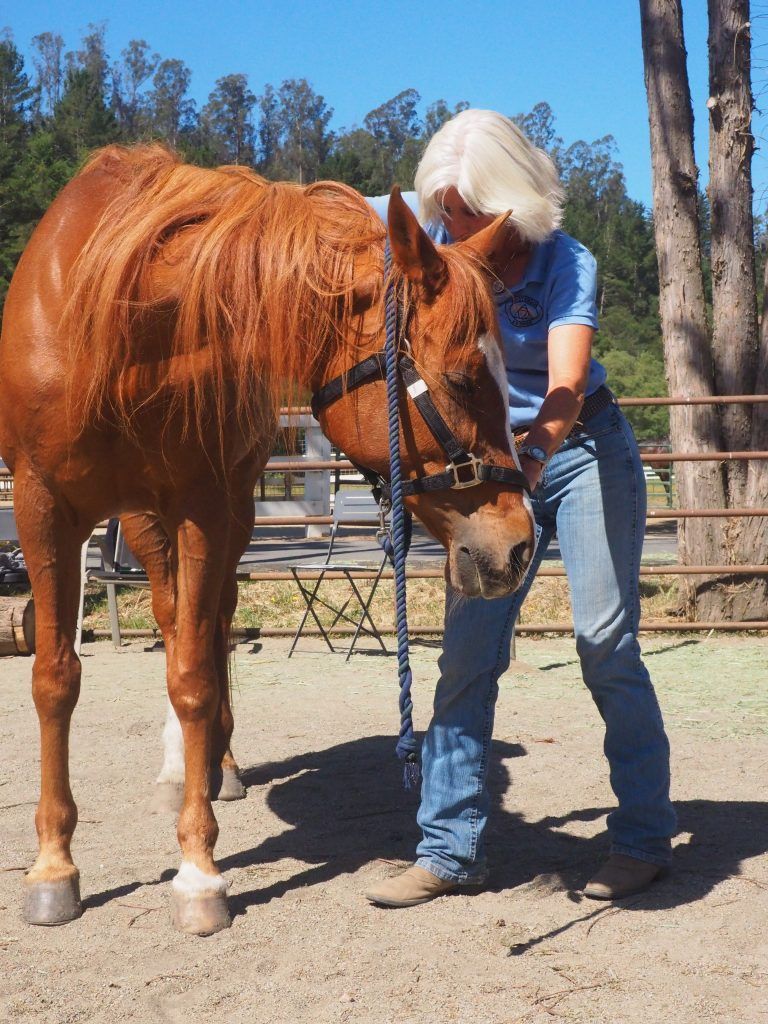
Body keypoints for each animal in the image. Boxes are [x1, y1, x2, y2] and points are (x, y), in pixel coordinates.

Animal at [0, 144, 534, 935]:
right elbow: (54, 680)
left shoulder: (204, 506)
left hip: (227, 514)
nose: (519, 546)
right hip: (141, 522)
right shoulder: (44, 509)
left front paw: (198, 872)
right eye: (466, 377)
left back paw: (215, 768)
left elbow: (194, 676)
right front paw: (53, 867)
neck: (121, 323)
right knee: (172, 619)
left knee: (209, 627)